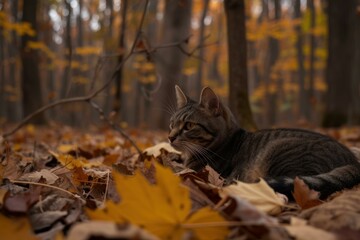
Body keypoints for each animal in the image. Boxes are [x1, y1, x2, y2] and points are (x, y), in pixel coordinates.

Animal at [168, 86, 360, 199]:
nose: (169, 137)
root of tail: (353, 161)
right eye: (172, 123)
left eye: (189, 125)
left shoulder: (199, 170)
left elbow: (177, 170)